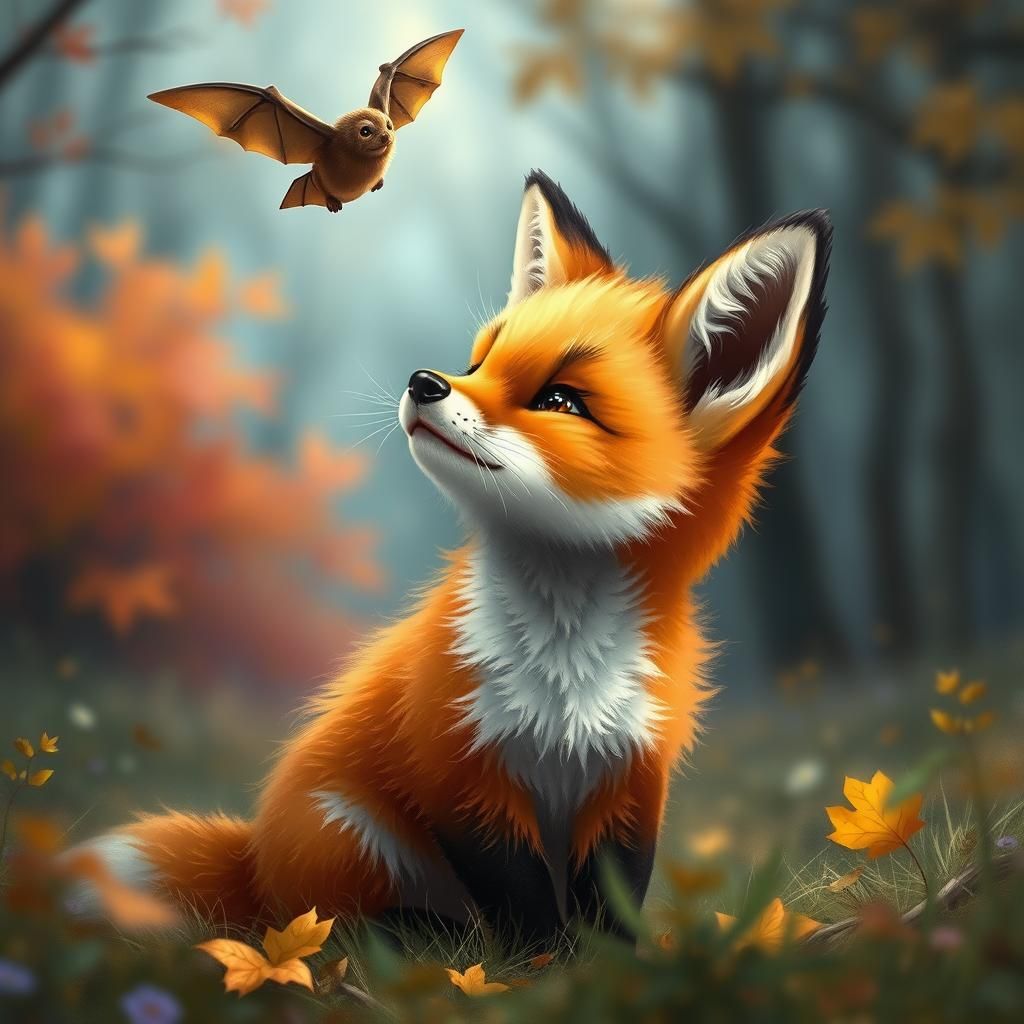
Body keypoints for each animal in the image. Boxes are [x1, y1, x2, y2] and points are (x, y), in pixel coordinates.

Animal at [71, 171, 831, 946]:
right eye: (479, 362)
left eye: (561, 400)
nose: (424, 382)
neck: (563, 677)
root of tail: (255, 857)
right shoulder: (460, 770)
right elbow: (523, 902)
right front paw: (541, 964)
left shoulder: (630, 778)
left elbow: (612, 897)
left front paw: (613, 959)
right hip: (347, 831)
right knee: (331, 920)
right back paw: (419, 934)